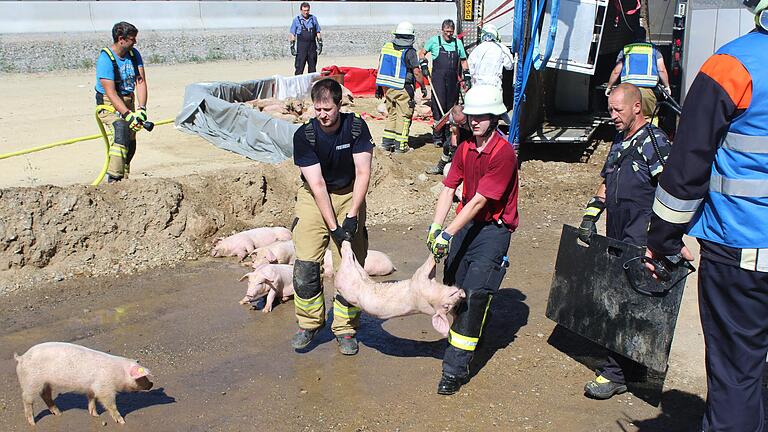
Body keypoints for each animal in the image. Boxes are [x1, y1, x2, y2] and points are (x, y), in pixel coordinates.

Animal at [14, 340, 152, 426]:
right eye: (142, 377)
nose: (152, 384)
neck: (118, 373)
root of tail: (21, 357)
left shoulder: (92, 388)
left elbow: (92, 400)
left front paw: (95, 415)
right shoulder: (104, 388)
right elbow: (110, 404)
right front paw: (122, 421)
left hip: (45, 383)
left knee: (45, 395)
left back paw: (59, 413)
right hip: (31, 382)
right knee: (27, 399)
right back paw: (33, 423)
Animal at [334, 241, 464, 336]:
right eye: (447, 306)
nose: (462, 293)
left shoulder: (420, 283)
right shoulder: (419, 279)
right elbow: (429, 264)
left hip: (349, 275)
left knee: (350, 257)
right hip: (354, 274)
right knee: (351, 256)